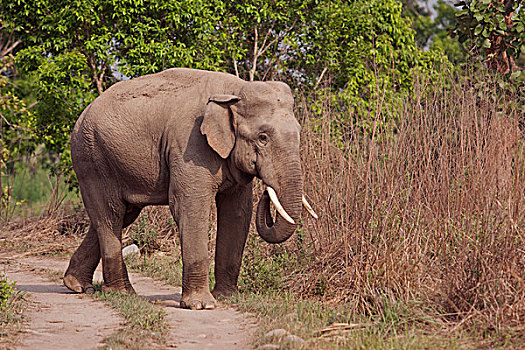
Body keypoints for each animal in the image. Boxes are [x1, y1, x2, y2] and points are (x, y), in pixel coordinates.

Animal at [61, 67, 316, 308]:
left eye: (299, 133)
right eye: (263, 138)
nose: (266, 191)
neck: (235, 89)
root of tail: (83, 113)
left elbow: (237, 212)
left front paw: (227, 297)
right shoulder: (189, 145)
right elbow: (189, 205)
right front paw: (202, 305)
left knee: (121, 215)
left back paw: (77, 285)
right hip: (91, 160)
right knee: (110, 214)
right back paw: (121, 293)